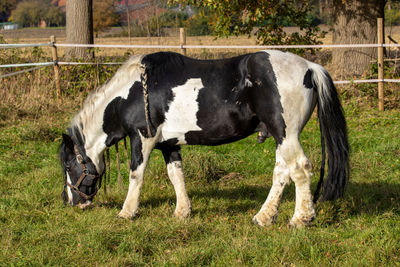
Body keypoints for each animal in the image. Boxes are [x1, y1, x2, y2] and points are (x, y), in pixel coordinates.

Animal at [57, 51, 348, 229]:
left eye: (69, 165)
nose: (70, 201)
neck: (133, 91)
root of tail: (310, 68)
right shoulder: (169, 144)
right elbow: (176, 175)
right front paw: (182, 212)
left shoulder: (143, 139)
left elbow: (136, 175)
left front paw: (127, 212)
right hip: (281, 136)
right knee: (282, 173)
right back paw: (264, 217)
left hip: (287, 134)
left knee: (300, 169)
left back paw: (301, 218)